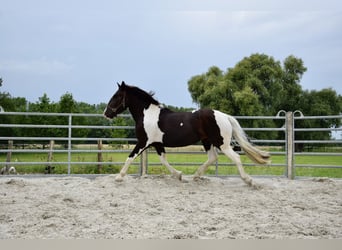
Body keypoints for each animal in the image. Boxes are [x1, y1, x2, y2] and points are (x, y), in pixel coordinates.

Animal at [103, 81, 272, 187]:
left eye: (117, 96)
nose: (106, 113)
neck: (147, 115)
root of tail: (224, 116)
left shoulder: (143, 142)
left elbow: (130, 157)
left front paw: (119, 177)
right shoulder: (157, 144)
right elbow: (163, 160)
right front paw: (179, 175)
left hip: (221, 143)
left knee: (235, 158)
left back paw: (249, 181)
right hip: (207, 141)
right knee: (212, 158)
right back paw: (196, 176)